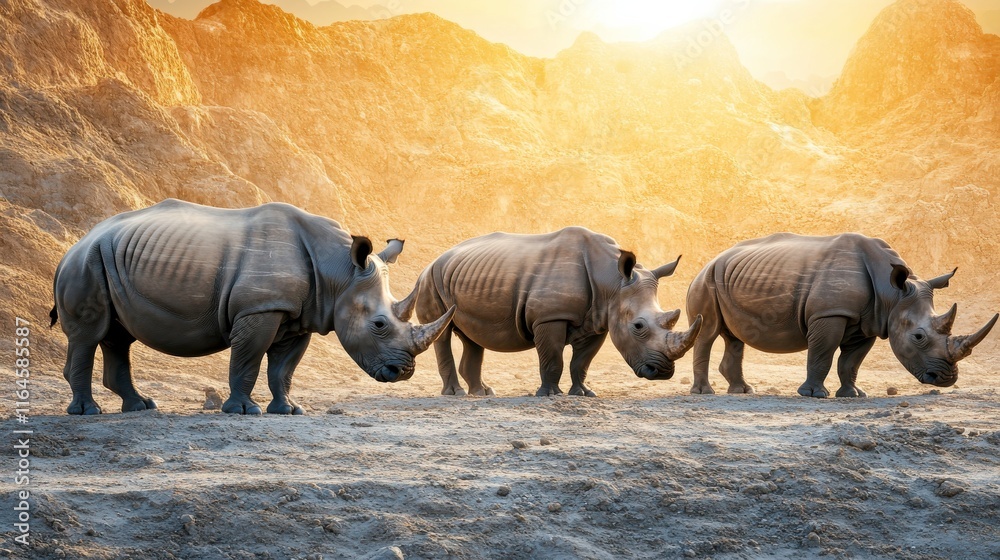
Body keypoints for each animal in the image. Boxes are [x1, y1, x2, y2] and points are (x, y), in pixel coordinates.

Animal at [50, 199, 455, 415]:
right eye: (379, 325)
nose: (403, 372)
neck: (339, 272)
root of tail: (74, 243)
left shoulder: (297, 315)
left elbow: (283, 369)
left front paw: (288, 410)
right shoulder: (259, 308)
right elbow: (248, 359)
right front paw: (244, 411)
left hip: (105, 260)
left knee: (118, 336)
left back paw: (141, 407)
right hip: (86, 262)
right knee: (90, 333)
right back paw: (88, 413)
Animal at [409, 227, 703, 397]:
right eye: (638, 327)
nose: (662, 371)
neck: (612, 281)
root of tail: (435, 260)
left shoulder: (599, 320)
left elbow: (581, 362)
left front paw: (583, 393)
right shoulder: (550, 317)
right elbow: (552, 358)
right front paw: (550, 394)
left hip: (465, 277)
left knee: (472, 336)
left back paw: (483, 393)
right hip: (429, 280)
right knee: (442, 331)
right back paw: (456, 394)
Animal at [686, 233, 997, 397]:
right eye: (918, 336)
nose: (945, 379)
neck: (892, 293)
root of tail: (709, 261)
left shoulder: (870, 322)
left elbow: (851, 362)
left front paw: (853, 395)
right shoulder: (829, 314)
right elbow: (822, 353)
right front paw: (814, 395)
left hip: (726, 278)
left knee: (734, 337)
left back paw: (742, 391)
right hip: (706, 281)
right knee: (708, 332)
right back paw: (705, 393)